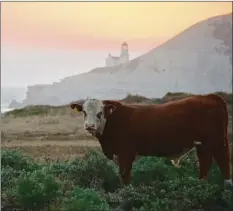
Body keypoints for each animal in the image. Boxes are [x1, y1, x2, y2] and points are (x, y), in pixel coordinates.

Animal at [71, 94, 233, 188]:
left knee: (222, 160)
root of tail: (211, 96)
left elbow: (125, 177)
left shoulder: (126, 154)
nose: (89, 126)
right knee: (206, 162)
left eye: (100, 113)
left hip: (216, 141)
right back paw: (201, 185)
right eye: (84, 112)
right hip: (203, 144)